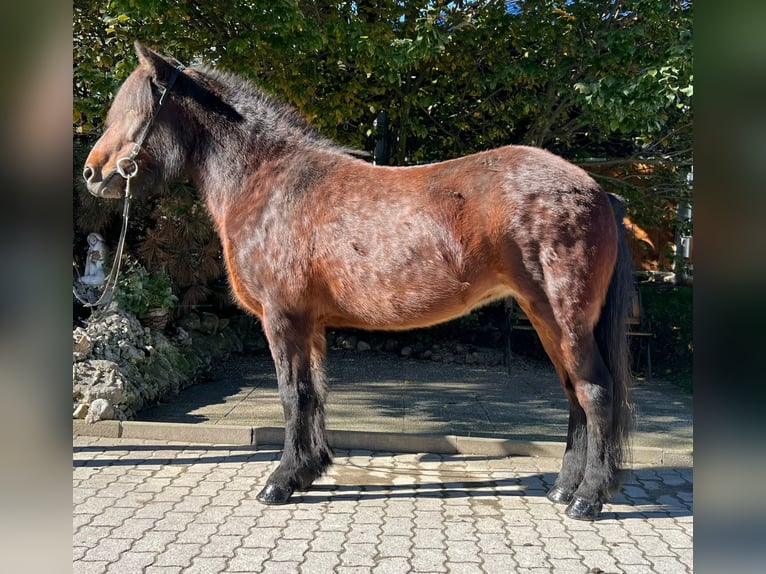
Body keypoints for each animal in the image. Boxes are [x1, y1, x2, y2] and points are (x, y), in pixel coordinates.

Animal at [83, 42, 634, 521]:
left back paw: (587, 499)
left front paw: (279, 483)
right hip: (545, 320)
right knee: (574, 395)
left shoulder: (282, 320)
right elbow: (313, 393)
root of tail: (596, 191)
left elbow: (292, 395)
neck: (269, 183)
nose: (92, 174)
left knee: (595, 393)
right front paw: (307, 472)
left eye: (134, 112)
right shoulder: (309, 324)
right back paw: (563, 489)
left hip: (565, 319)